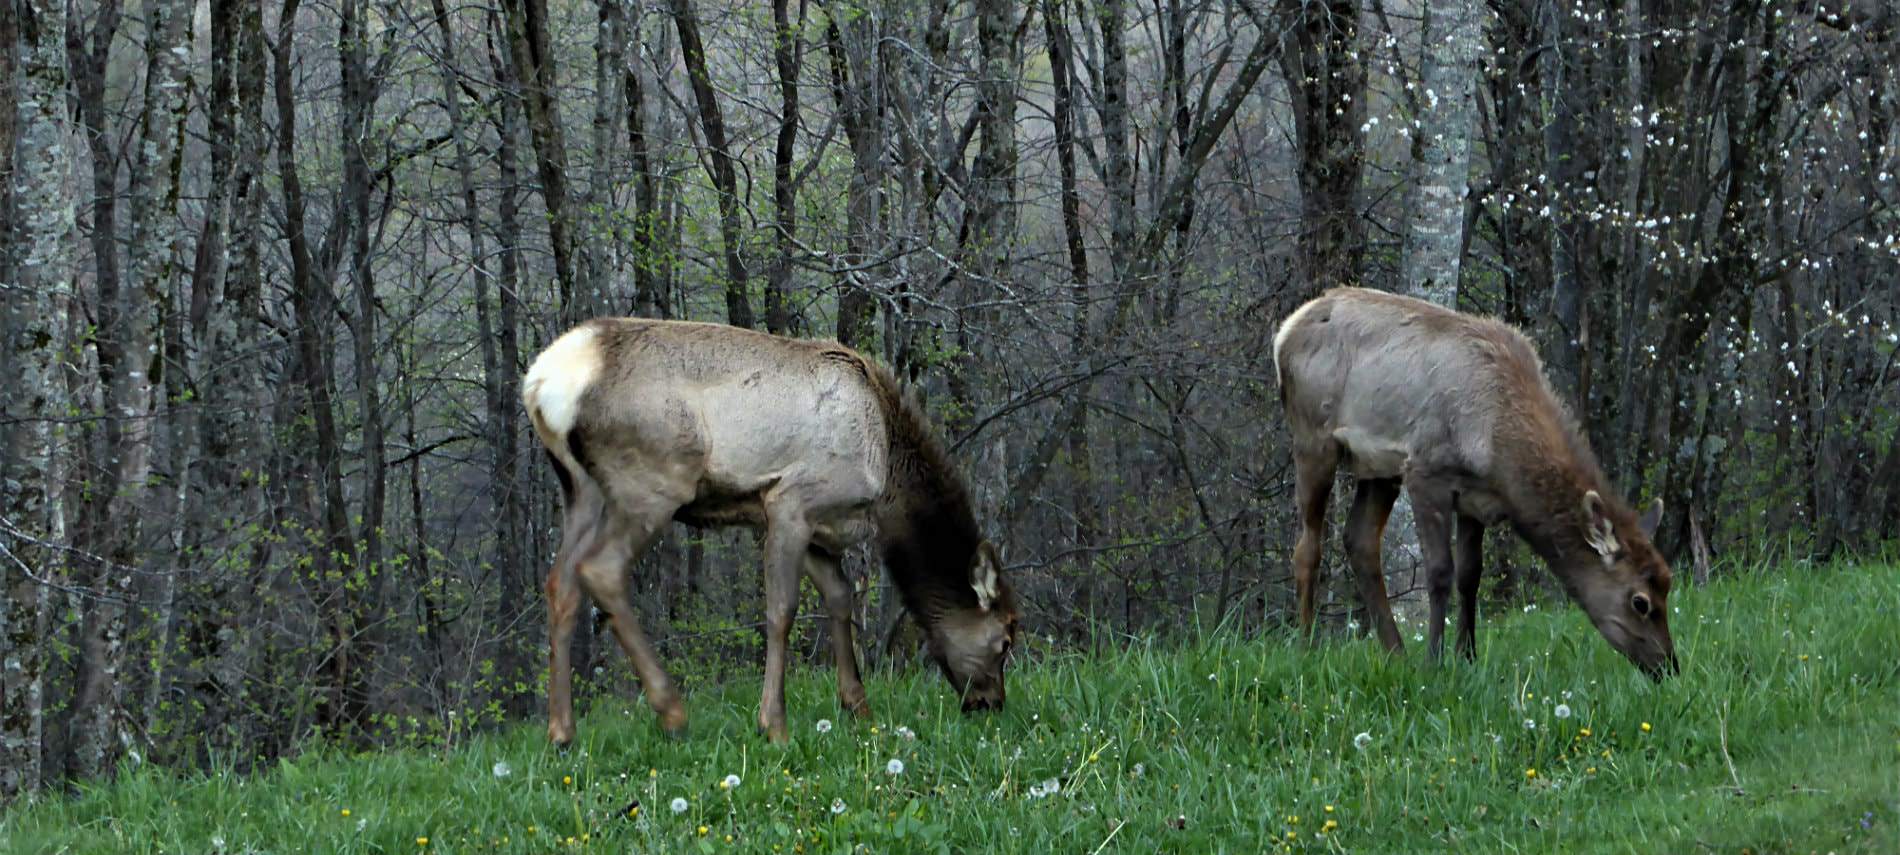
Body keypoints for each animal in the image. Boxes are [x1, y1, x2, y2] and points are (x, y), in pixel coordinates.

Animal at [521, 319, 1019, 745]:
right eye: (1005, 640)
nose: (991, 703)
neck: (884, 479)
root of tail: (542, 383)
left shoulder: (816, 528)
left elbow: (839, 598)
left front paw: (859, 708)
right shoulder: (790, 501)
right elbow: (781, 610)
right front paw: (774, 725)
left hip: (580, 491)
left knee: (560, 583)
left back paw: (561, 732)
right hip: (653, 479)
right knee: (601, 570)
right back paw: (672, 712)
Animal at [1273, 287, 1678, 678]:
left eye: (1669, 583)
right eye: (1640, 602)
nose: (1668, 666)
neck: (1499, 451)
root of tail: (1284, 333)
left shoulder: (1475, 500)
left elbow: (1471, 576)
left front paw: (1467, 657)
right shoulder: (1426, 471)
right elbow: (1440, 572)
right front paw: (1434, 661)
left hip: (1378, 469)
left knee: (1360, 540)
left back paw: (1395, 652)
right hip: (1313, 439)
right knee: (1307, 547)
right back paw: (1307, 647)